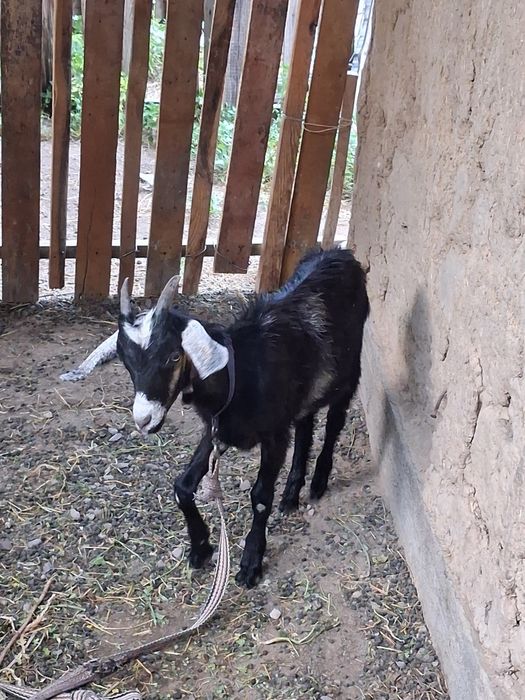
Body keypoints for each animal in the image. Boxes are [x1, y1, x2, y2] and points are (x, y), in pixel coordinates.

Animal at [63, 248, 369, 587]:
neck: (239, 373)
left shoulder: (274, 435)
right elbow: (182, 486)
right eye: (125, 360)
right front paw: (201, 548)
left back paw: (317, 483)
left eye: (173, 356)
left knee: (333, 424)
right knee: (306, 424)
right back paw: (291, 495)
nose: (144, 420)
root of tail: (342, 254)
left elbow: (260, 496)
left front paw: (250, 563)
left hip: (349, 373)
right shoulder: (215, 430)